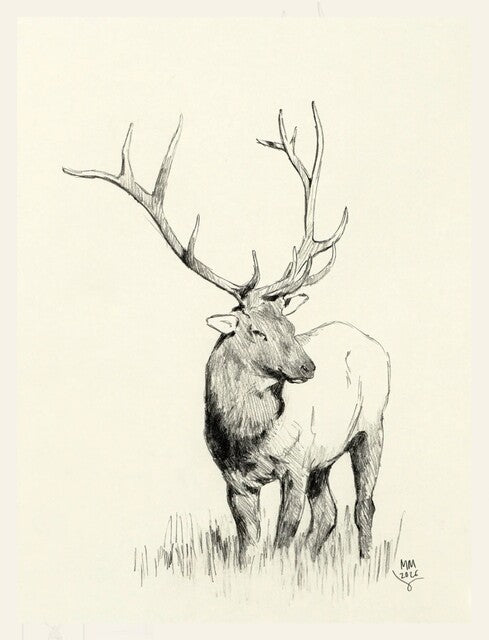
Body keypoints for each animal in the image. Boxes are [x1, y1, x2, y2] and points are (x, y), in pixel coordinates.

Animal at [63, 103, 390, 567]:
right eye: (256, 330)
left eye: (290, 326)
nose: (308, 366)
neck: (244, 437)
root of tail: (371, 341)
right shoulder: (235, 478)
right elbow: (248, 541)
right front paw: (252, 571)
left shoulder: (295, 463)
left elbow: (282, 535)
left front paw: (279, 572)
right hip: (325, 456)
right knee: (327, 512)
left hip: (372, 426)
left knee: (363, 504)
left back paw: (363, 562)